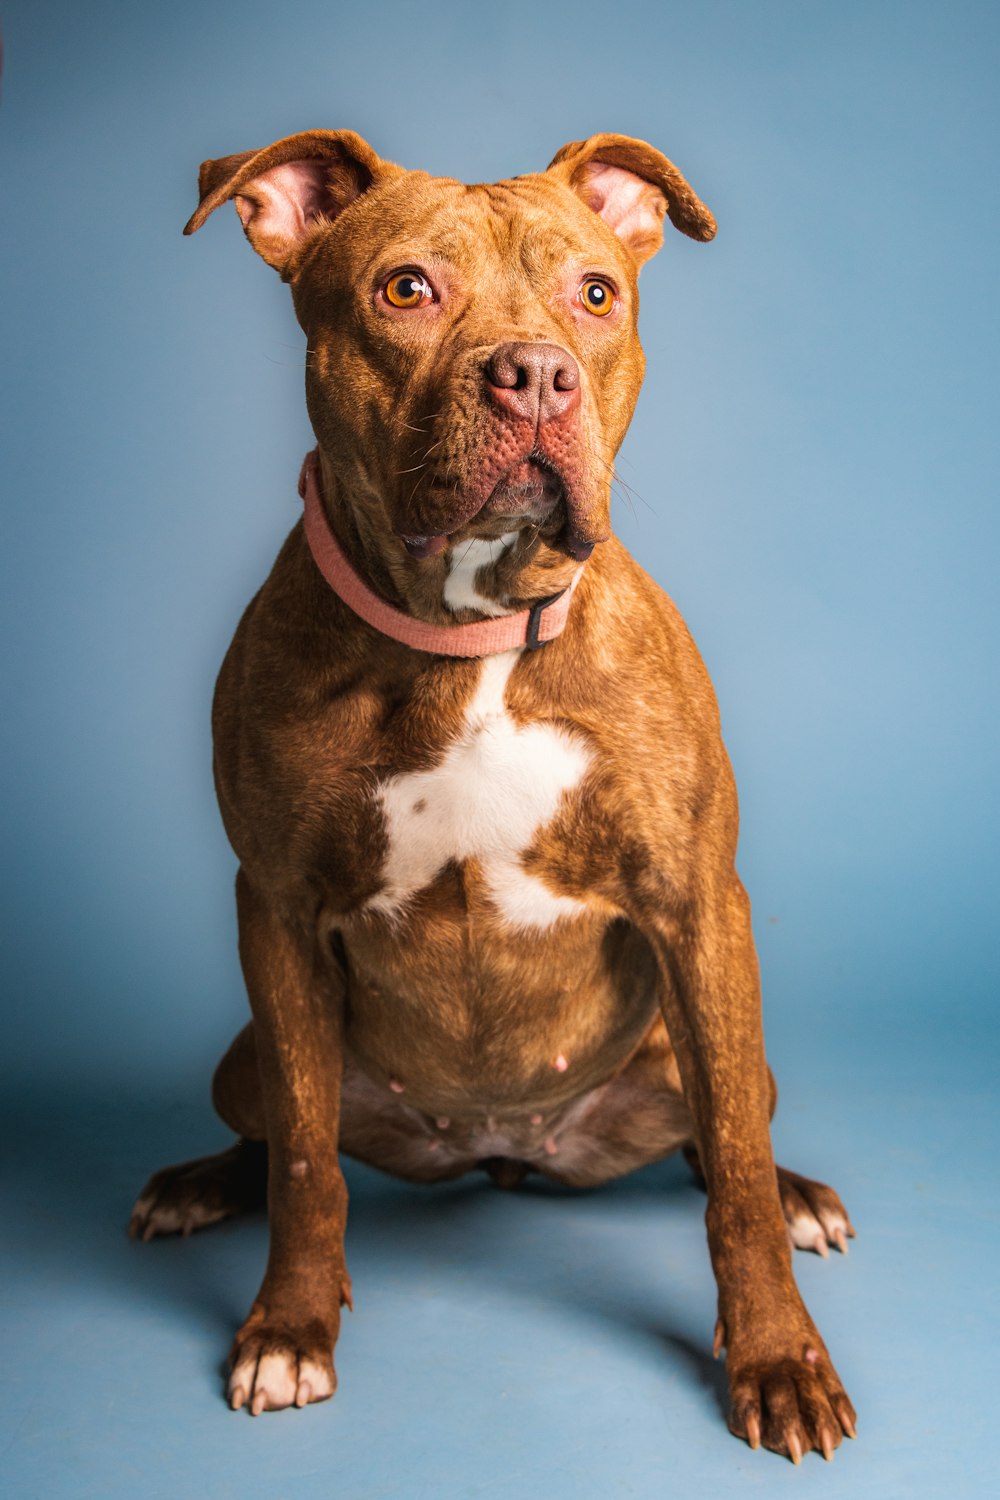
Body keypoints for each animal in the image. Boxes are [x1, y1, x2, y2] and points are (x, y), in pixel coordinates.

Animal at [128, 129, 857, 1464]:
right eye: (405, 289)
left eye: (595, 293)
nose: (534, 377)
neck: (468, 638)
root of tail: (505, 1151)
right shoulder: (276, 912)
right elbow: (305, 1165)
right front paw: (287, 1331)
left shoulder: (696, 905)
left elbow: (731, 1164)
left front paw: (776, 1357)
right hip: (246, 1051)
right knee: (271, 1128)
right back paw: (198, 1185)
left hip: (707, 1038)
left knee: (721, 1127)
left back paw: (799, 1194)